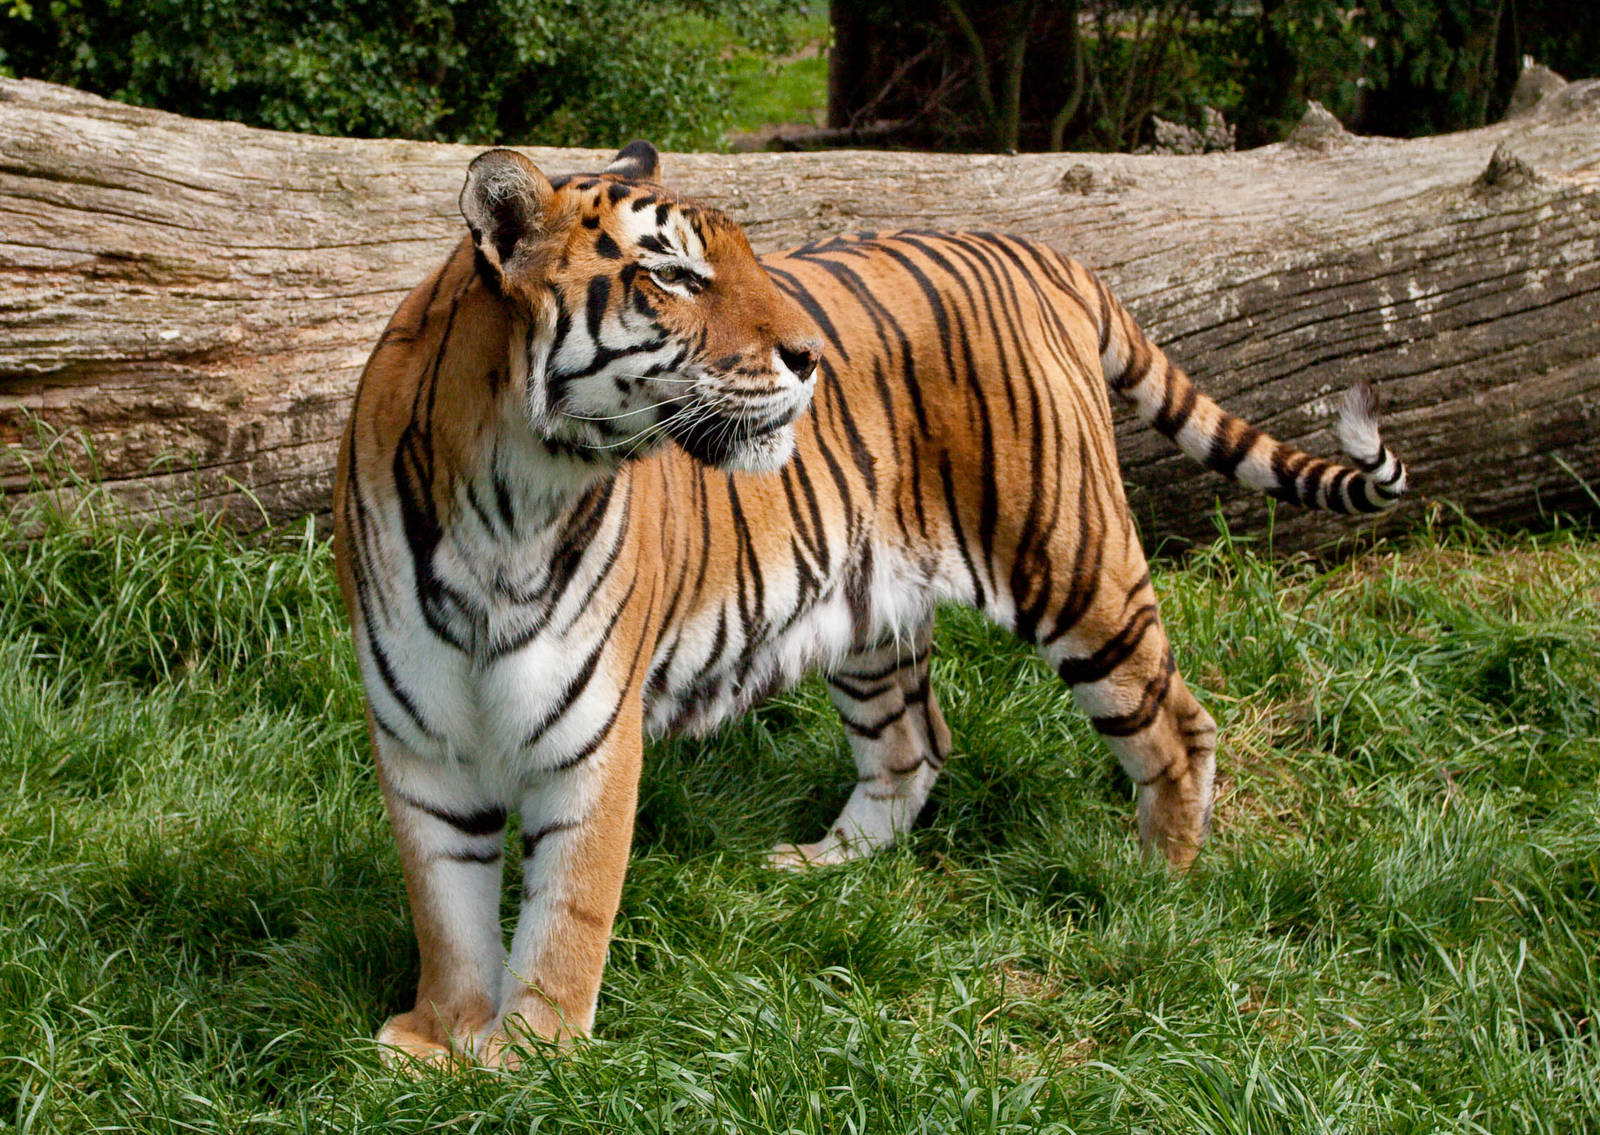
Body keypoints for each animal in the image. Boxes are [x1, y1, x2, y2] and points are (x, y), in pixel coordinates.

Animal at [332, 140, 1406, 1066]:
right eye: (673, 275)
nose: (811, 358)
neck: (514, 497)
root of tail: (1037, 249)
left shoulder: (590, 735)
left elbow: (567, 909)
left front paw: (532, 1052)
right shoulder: (421, 738)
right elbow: (446, 904)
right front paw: (440, 1037)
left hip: (1070, 562)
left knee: (1175, 726)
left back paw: (1160, 890)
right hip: (868, 613)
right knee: (916, 742)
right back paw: (822, 863)